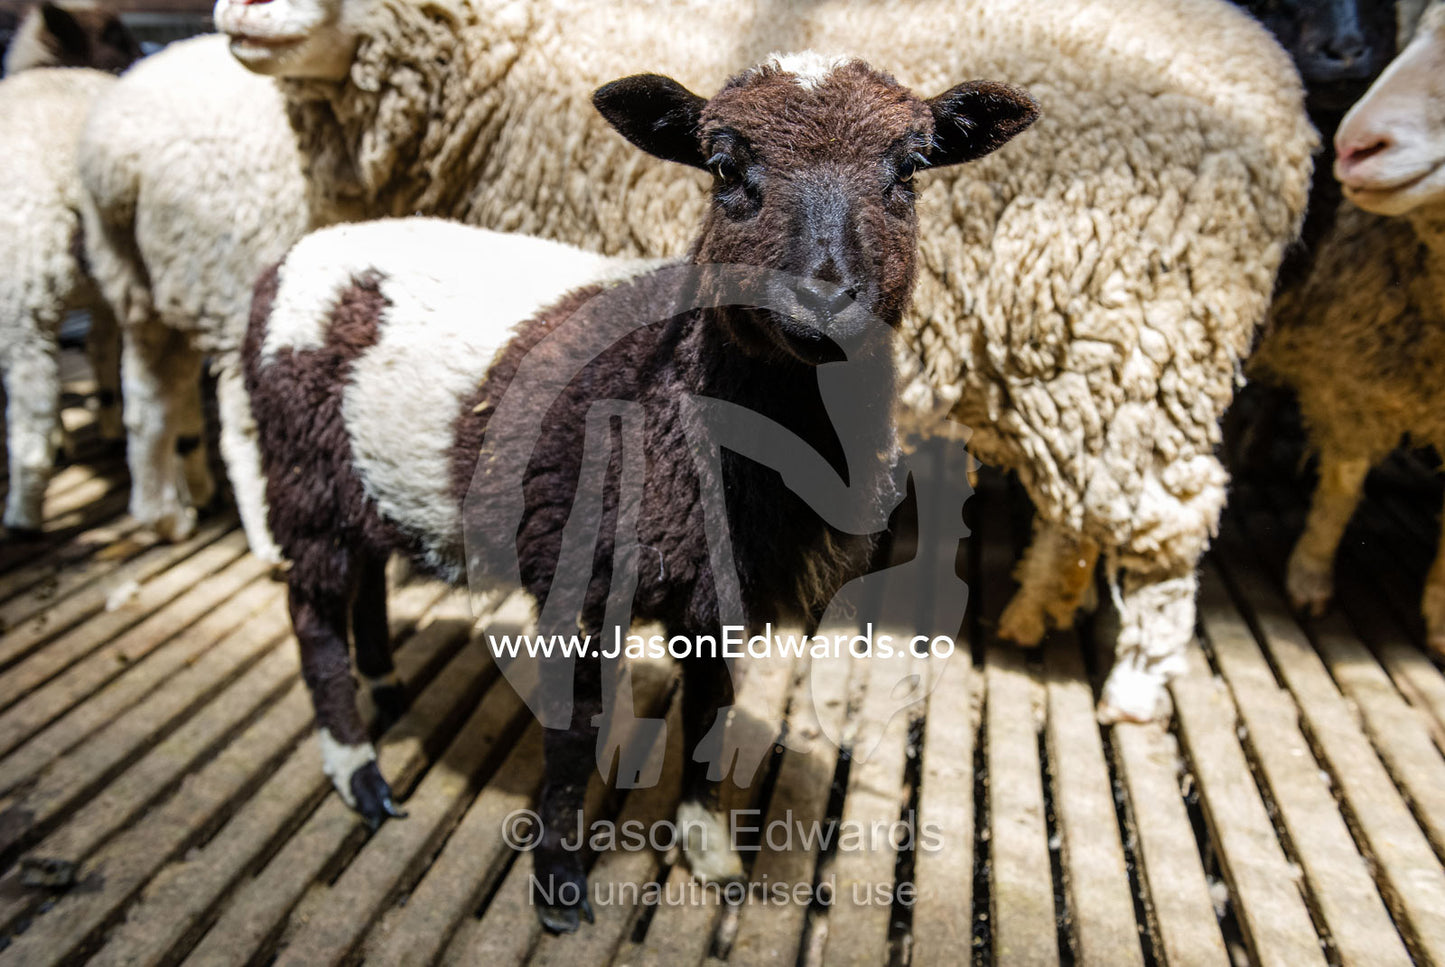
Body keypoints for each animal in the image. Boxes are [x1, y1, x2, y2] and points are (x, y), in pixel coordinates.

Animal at [0, 7, 141, 537]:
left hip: (22, 302)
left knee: (32, 412)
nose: (142, 53)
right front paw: (107, 419)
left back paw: (23, 513)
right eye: (117, 36)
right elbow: (100, 350)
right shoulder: (101, 297)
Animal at [211, 0, 1312, 722]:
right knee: (1083, 510)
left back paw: (1133, 684)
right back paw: (1037, 611)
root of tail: (1279, 89)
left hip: (1139, 331)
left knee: (1165, 512)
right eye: (725, 167)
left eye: (909, 169)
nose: (240, 8)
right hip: (1081, 353)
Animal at [245, 55, 1037, 931]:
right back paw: (358, 769)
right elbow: (573, 732)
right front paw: (558, 879)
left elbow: (710, 711)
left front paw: (707, 845)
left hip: (361, 478)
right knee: (315, 614)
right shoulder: (582, 574)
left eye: (909, 171)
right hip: (301, 470)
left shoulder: (721, 591)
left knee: (368, 583)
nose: (825, 300)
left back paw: (385, 688)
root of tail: (301, 254)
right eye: (723, 169)